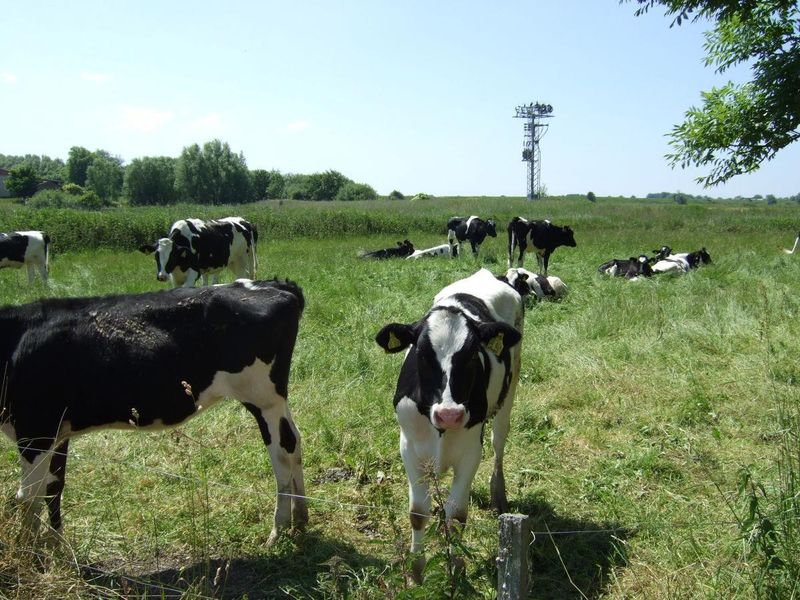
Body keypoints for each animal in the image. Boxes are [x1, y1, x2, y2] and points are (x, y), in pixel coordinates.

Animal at [0, 278, 306, 540]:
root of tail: (274, 285)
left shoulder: (35, 431)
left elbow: (28, 496)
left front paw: (30, 553)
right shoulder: (58, 432)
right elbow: (53, 488)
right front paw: (56, 547)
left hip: (263, 398)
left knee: (283, 451)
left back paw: (278, 529)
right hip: (274, 401)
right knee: (295, 442)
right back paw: (300, 518)